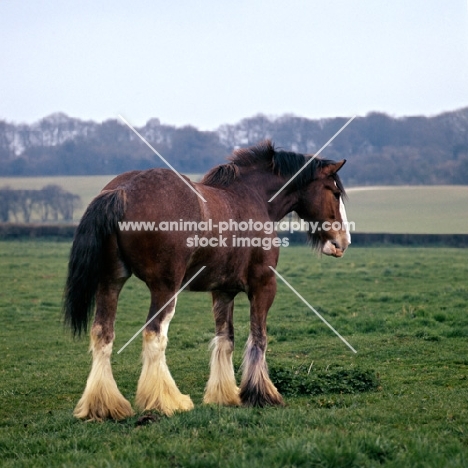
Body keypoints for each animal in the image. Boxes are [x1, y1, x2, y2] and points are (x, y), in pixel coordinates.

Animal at [63, 139, 352, 420]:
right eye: (335, 193)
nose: (343, 241)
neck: (253, 198)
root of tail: (122, 190)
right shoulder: (264, 285)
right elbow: (259, 337)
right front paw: (261, 394)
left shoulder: (223, 291)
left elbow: (225, 339)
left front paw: (225, 395)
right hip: (164, 288)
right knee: (154, 334)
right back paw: (166, 401)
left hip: (110, 282)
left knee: (102, 333)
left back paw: (104, 405)